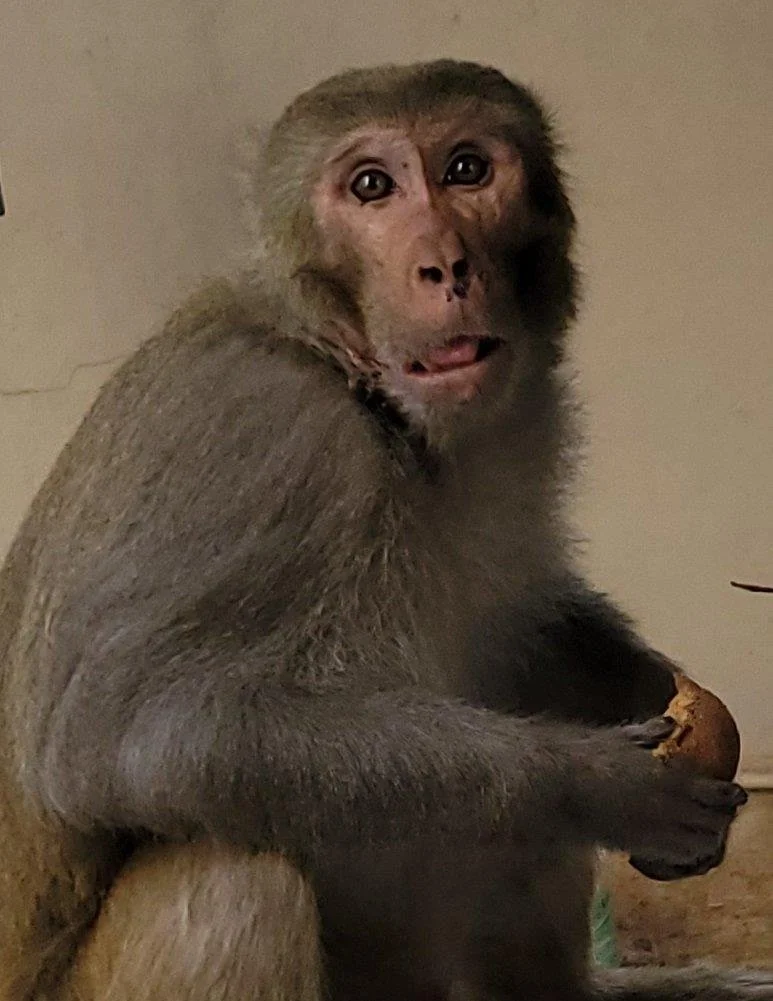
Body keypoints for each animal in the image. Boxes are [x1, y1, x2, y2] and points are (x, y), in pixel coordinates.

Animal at [0, 59, 770, 1001]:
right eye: (371, 186)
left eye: (467, 170)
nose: (444, 264)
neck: (358, 380)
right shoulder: (256, 428)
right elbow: (118, 738)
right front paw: (591, 785)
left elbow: (524, 628)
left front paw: (644, 685)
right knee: (232, 883)